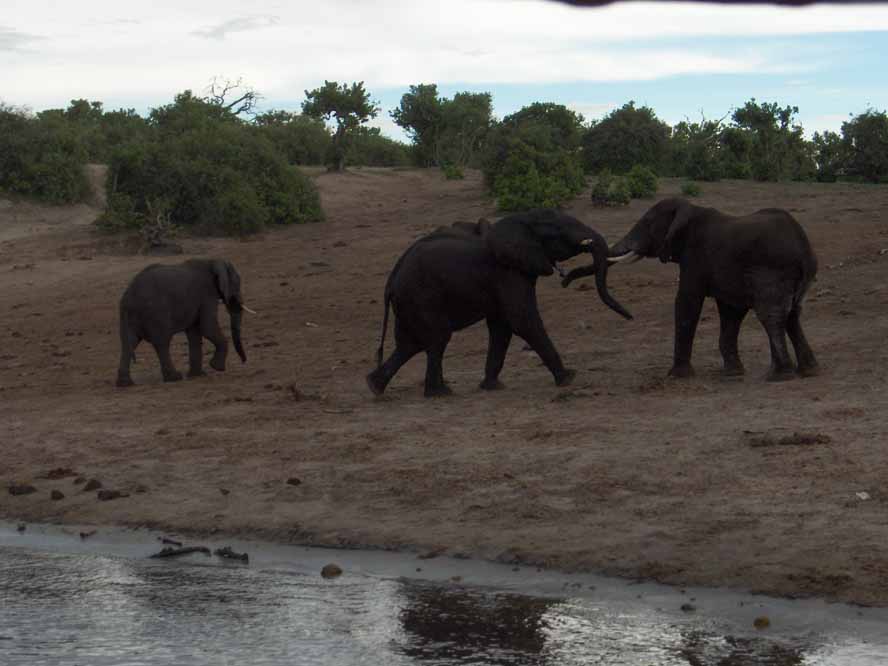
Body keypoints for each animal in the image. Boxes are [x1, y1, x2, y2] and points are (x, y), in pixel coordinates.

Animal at [115, 256, 253, 386]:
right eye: (237, 284)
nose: (244, 361)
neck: (211, 261)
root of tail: (129, 297)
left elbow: (194, 333)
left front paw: (198, 375)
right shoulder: (207, 294)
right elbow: (207, 327)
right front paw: (217, 367)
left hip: (128, 316)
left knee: (129, 343)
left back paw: (125, 383)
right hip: (155, 313)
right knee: (161, 342)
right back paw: (174, 377)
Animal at [368, 208, 632, 394]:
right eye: (557, 232)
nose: (630, 316)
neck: (521, 220)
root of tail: (391, 280)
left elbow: (502, 327)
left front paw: (493, 386)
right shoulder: (507, 273)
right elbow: (522, 320)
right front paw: (569, 378)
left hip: (409, 302)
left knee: (410, 344)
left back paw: (375, 386)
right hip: (420, 297)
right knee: (437, 337)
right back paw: (440, 393)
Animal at [564, 197, 816, 382]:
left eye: (647, 224)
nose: (564, 280)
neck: (690, 209)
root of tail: (803, 245)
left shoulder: (695, 255)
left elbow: (687, 301)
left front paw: (677, 376)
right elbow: (730, 311)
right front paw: (731, 373)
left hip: (772, 269)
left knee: (771, 315)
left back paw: (779, 376)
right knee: (792, 314)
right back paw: (807, 371)